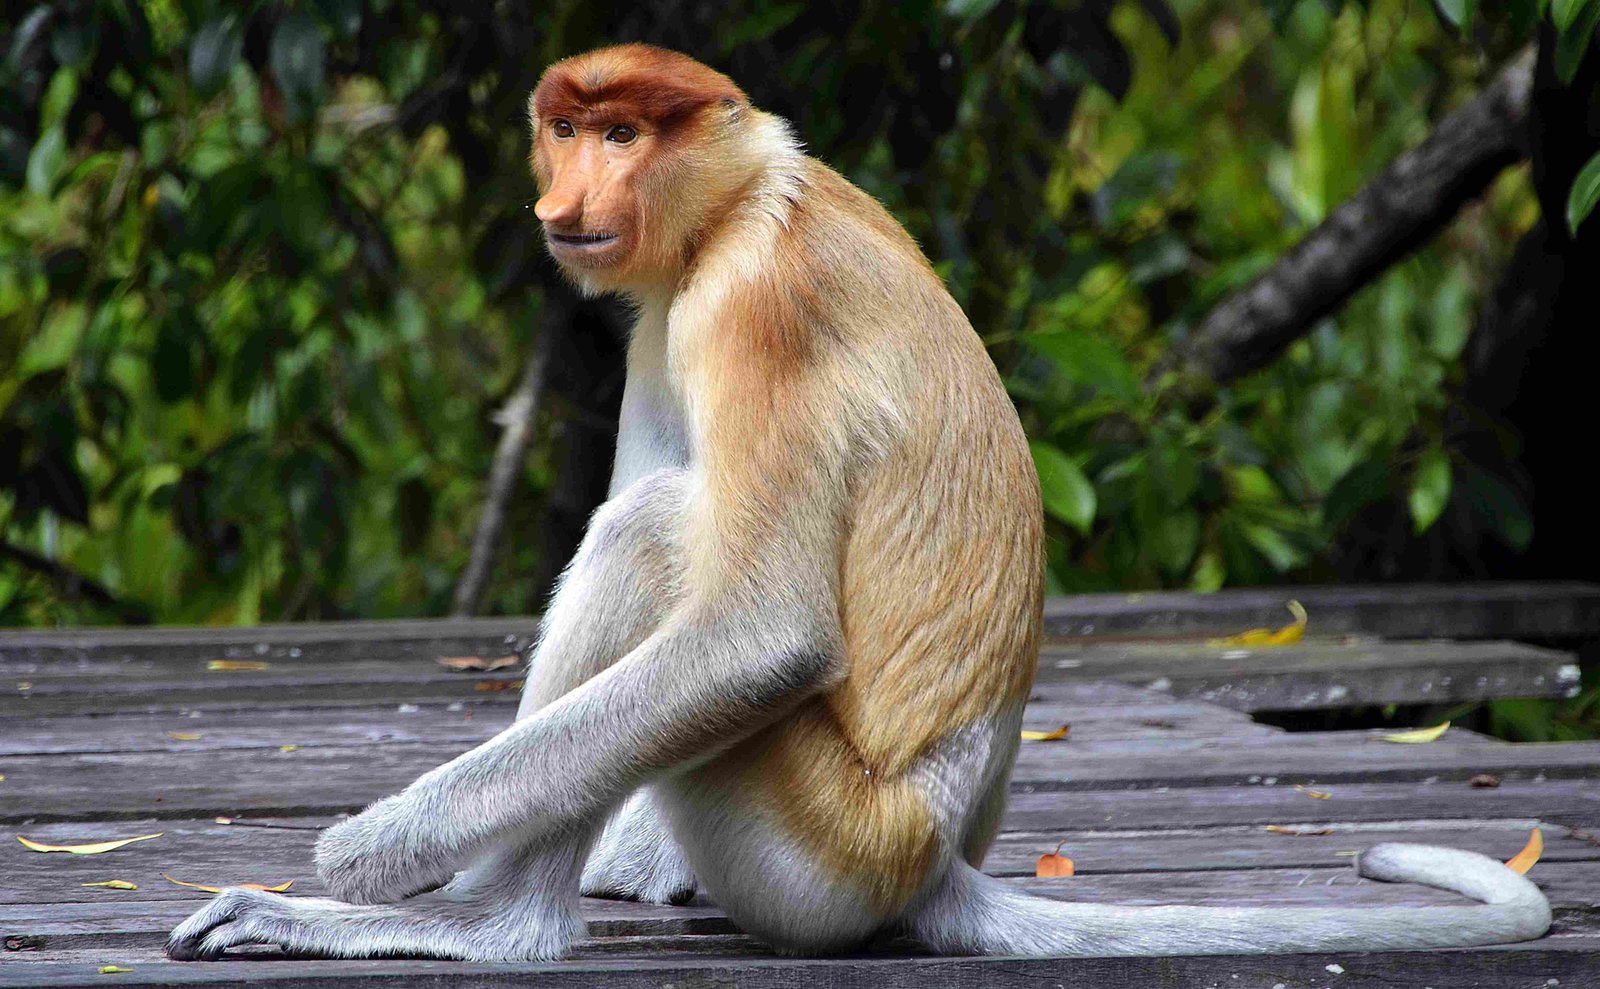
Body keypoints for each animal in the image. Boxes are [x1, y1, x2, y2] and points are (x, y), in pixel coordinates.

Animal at [167, 44, 1551, 963]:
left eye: (625, 137)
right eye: (563, 127)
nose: (566, 202)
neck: (743, 197)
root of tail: (935, 861)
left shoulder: (750, 309)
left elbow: (759, 633)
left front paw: (370, 850)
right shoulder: (662, 314)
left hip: (826, 845)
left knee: (652, 538)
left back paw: (494, 923)